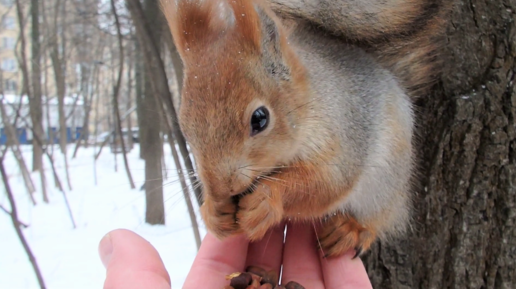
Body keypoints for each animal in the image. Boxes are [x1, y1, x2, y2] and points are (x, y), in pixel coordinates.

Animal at [162, 0, 448, 256]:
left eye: (260, 119)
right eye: (185, 126)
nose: (220, 188)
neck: (310, 102)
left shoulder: (343, 133)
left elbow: (324, 184)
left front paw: (266, 200)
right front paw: (213, 211)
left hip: (386, 182)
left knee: (382, 217)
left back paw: (351, 229)